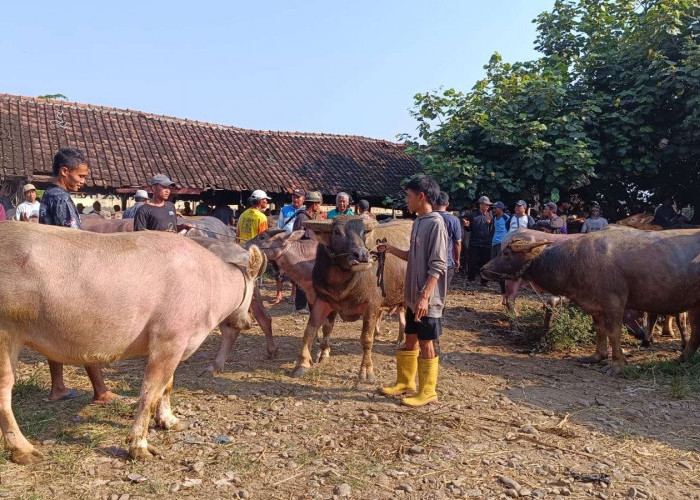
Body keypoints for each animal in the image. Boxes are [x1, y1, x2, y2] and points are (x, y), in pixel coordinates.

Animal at [0, 221, 262, 462]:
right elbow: (150, 393)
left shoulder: (175, 344)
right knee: (5, 389)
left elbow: (167, 385)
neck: (208, 284)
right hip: (4, 336)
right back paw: (22, 449)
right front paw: (139, 445)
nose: (249, 322)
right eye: (253, 295)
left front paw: (169, 420)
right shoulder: (169, 340)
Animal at [292, 216, 412, 382]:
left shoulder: (371, 307)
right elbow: (314, 329)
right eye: (337, 232)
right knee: (402, 317)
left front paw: (366, 371)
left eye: (363, 232)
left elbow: (366, 338)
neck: (341, 283)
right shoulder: (323, 300)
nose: (362, 255)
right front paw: (305, 362)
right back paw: (400, 340)